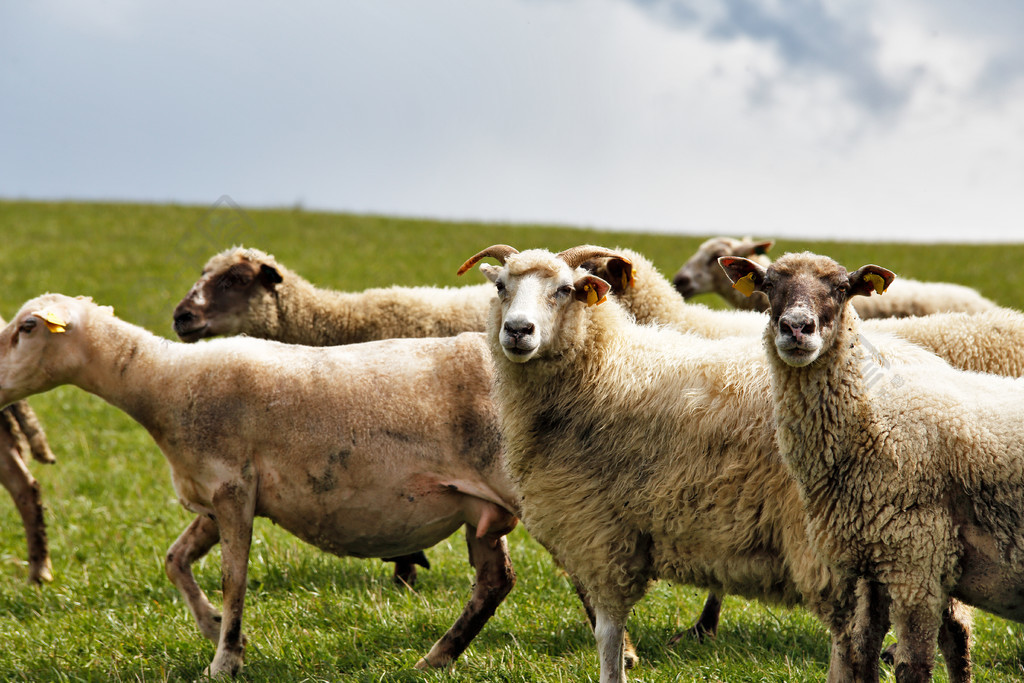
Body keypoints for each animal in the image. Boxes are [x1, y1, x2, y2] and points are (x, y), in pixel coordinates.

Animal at [0, 294, 516, 679]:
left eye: (27, 327)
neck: (164, 384)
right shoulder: (214, 497)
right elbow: (175, 561)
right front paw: (217, 629)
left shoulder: (232, 487)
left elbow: (234, 579)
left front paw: (224, 661)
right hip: (480, 508)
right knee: (494, 582)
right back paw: (435, 659)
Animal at [458, 244, 974, 683]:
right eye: (500, 286)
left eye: (564, 289)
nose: (518, 331)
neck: (605, 366)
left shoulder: (601, 532)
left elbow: (608, 635)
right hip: (915, 538)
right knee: (952, 630)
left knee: (856, 641)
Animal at [720, 250, 1024, 683]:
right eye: (769, 284)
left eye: (841, 289)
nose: (797, 328)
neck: (873, 422)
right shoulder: (870, 562)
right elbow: (861, 654)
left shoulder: (916, 561)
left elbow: (914, 665)